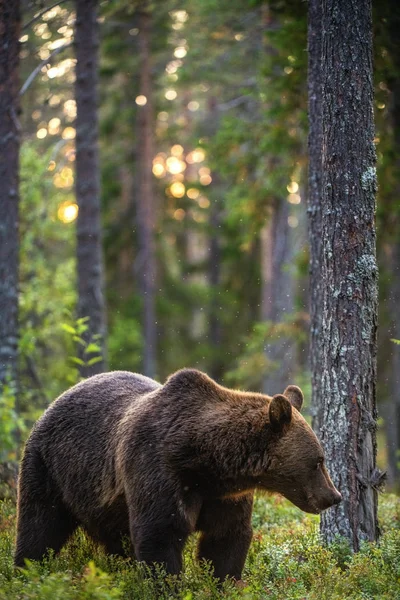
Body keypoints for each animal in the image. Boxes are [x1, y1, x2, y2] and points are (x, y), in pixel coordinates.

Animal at [14, 368, 340, 580]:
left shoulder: (226, 495)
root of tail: (57, 399)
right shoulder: (157, 469)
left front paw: (223, 582)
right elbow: (160, 535)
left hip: (103, 504)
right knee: (39, 526)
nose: (333, 496)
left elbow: (226, 540)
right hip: (49, 466)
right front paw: (167, 583)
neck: (207, 461)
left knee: (115, 543)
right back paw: (26, 571)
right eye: (318, 461)